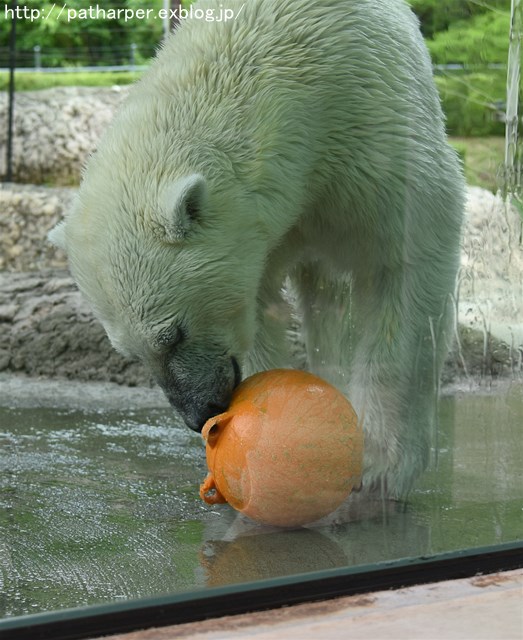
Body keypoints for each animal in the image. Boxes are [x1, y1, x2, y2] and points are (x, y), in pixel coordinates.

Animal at [51, 0, 464, 500]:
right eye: (131, 354)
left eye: (174, 334)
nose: (199, 413)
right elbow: (259, 305)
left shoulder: (375, 131)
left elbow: (405, 263)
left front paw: (383, 467)